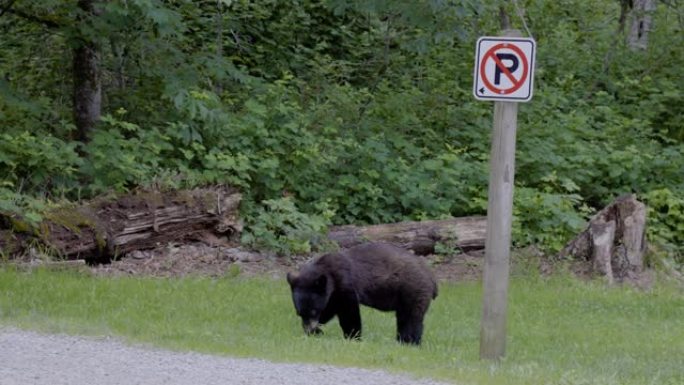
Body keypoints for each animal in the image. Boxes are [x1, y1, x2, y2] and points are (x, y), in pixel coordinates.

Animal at [284, 242, 436, 344]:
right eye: (299, 313)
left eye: (313, 310)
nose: (309, 329)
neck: (329, 273)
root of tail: (431, 277)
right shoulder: (332, 294)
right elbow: (330, 308)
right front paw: (317, 330)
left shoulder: (345, 285)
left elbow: (349, 312)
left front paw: (353, 336)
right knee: (403, 318)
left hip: (412, 290)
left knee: (412, 318)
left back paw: (410, 341)